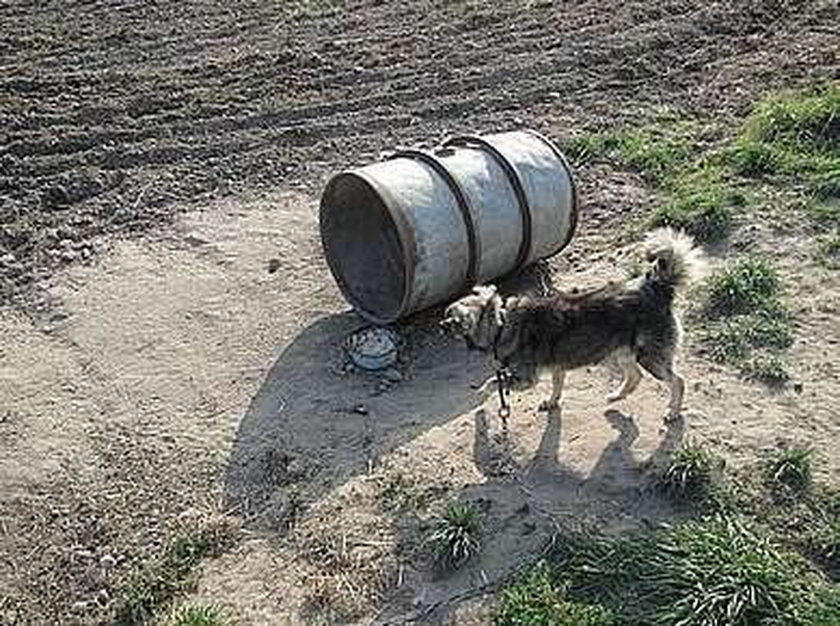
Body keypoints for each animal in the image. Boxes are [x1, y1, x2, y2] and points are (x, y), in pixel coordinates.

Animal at [442, 227, 704, 416]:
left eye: (450, 319)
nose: (439, 326)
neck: (501, 322)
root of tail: (657, 287)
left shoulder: (526, 378)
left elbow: (493, 383)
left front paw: (483, 398)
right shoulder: (557, 366)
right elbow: (557, 386)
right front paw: (551, 402)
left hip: (649, 357)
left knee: (678, 381)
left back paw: (673, 412)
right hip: (622, 352)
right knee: (635, 377)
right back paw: (616, 396)